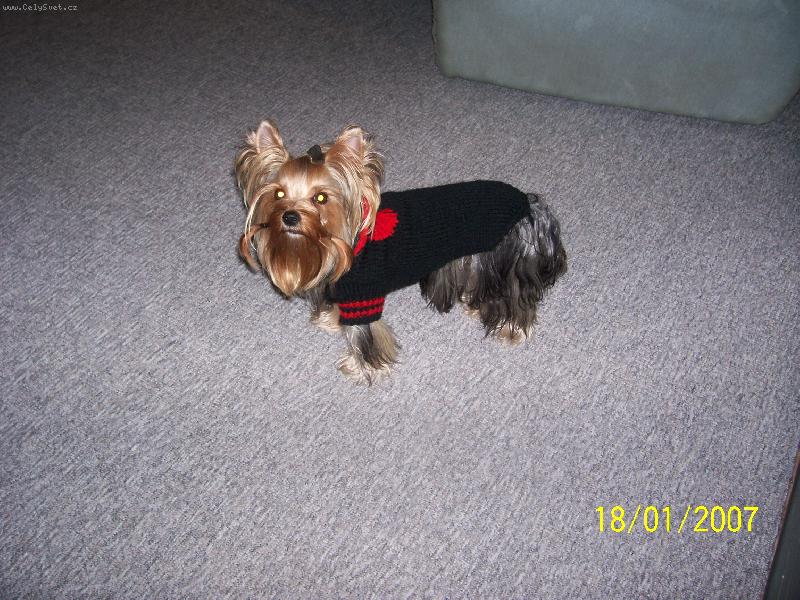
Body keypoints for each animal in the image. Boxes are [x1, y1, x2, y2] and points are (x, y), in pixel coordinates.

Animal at [235, 120, 567, 384]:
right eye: (278, 193)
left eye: (320, 198)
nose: (289, 217)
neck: (342, 242)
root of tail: (527, 203)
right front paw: (331, 319)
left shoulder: (363, 297)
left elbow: (364, 336)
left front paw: (363, 369)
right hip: (480, 256)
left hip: (506, 256)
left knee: (515, 295)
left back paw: (511, 329)